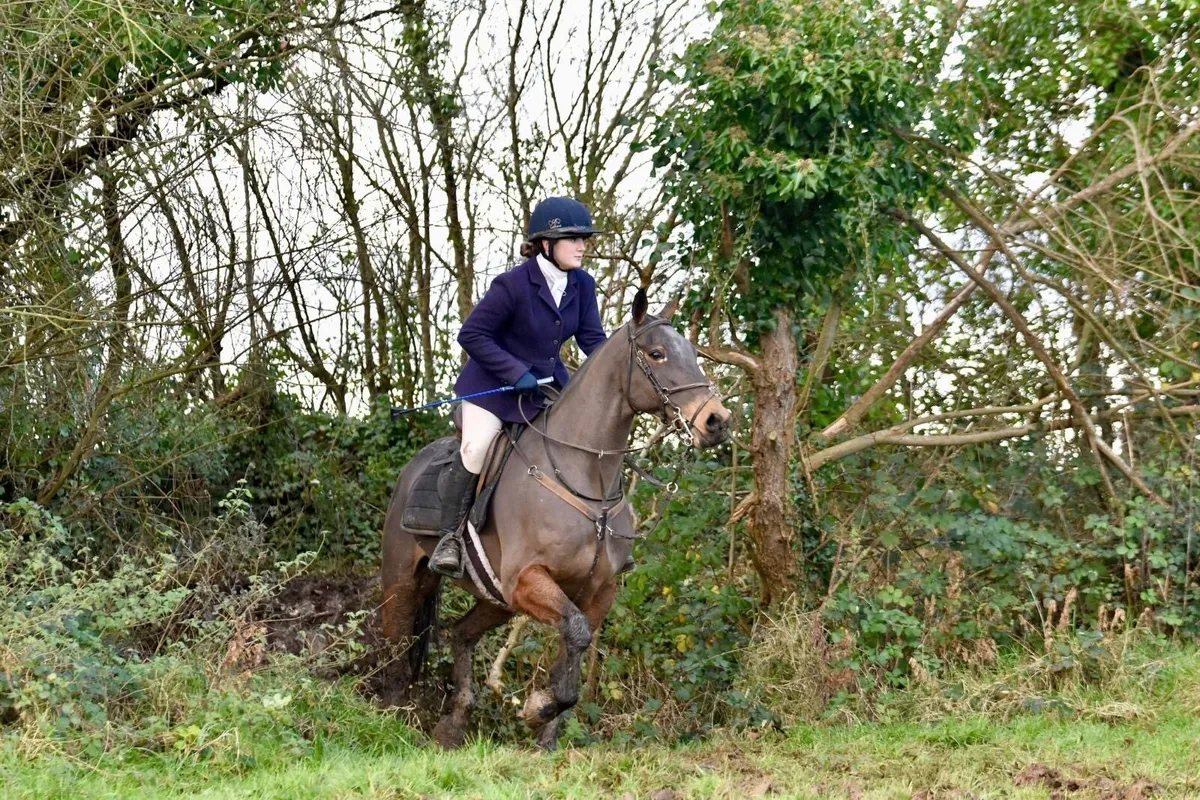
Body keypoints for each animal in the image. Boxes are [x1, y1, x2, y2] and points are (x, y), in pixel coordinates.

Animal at [380, 290, 733, 750]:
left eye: (692, 353)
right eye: (656, 354)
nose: (717, 421)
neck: (585, 478)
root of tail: (413, 465)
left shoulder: (596, 592)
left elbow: (575, 650)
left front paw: (546, 736)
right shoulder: (527, 580)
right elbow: (576, 640)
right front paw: (536, 710)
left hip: (495, 599)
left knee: (460, 634)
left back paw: (452, 725)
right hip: (404, 580)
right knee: (395, 642)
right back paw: (390, 717)